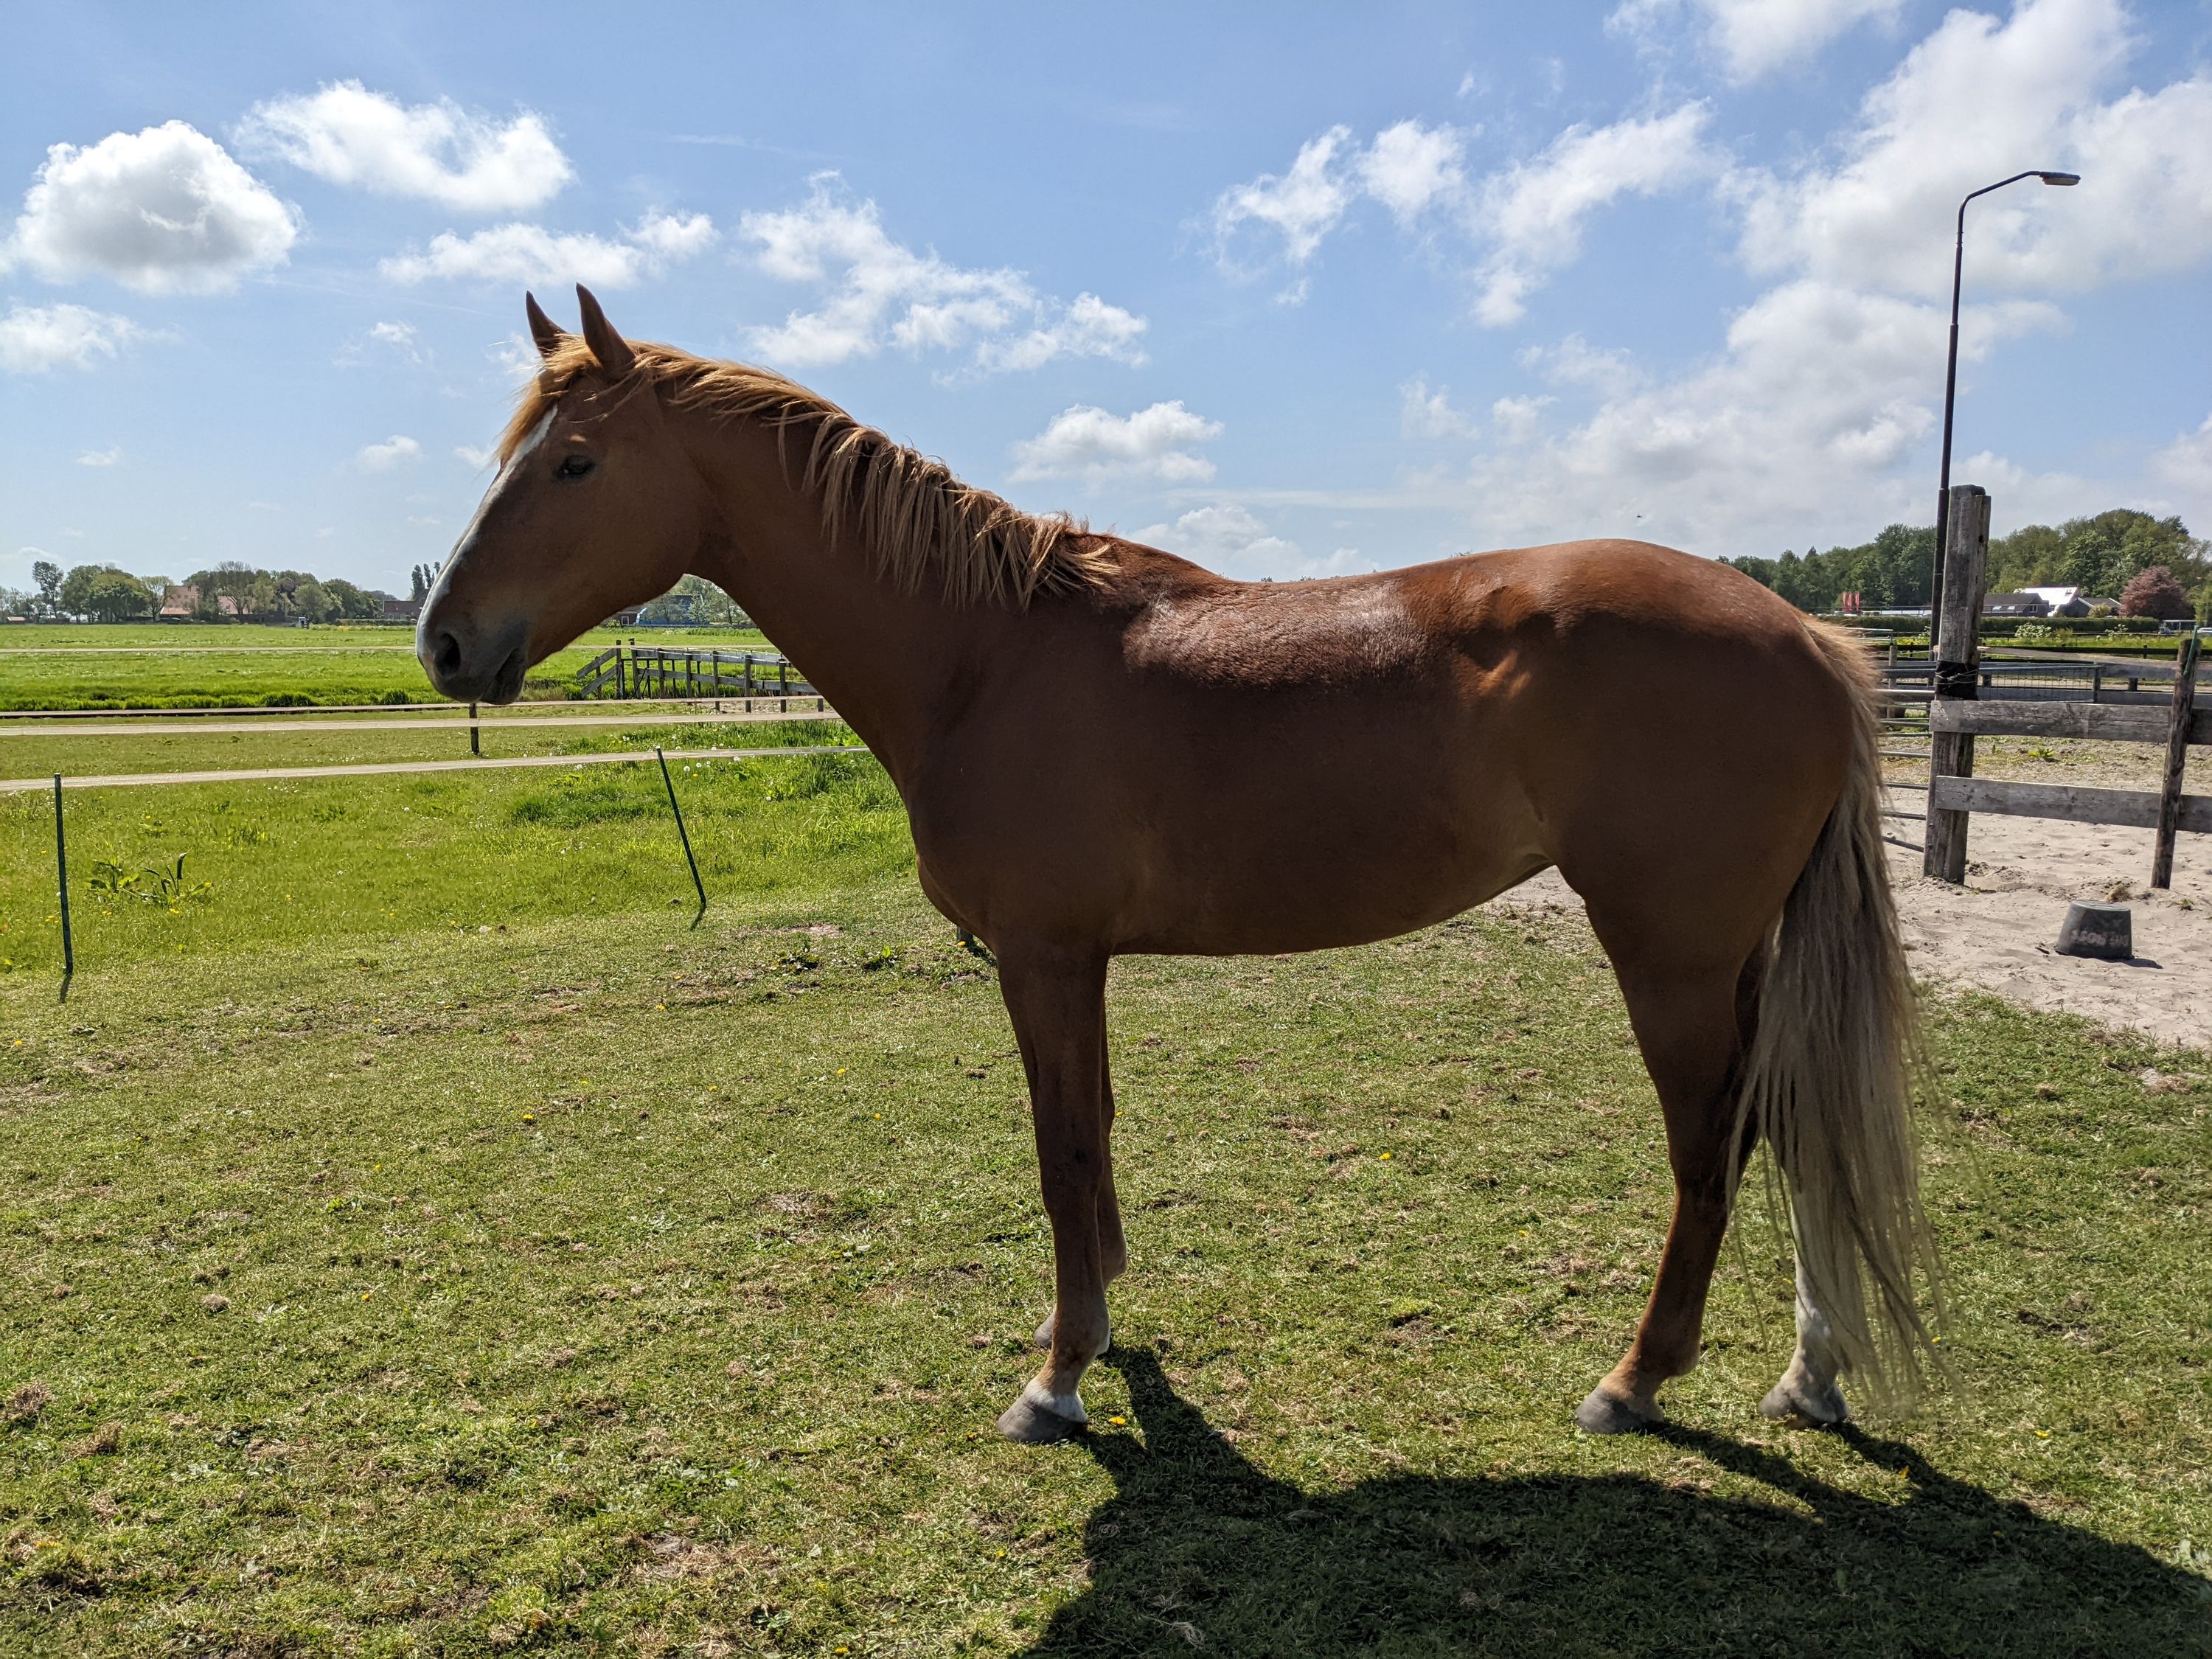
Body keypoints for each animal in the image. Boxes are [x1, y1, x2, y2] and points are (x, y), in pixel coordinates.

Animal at [419, 286, 1938, 1444]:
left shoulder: (1040, 958)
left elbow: (1059, 1150)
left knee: (1713, 1144)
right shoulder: (1076, 962)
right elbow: (1093, 1137)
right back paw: (1808, 1373)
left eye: (573, 464)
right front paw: (1092, 1325)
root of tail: (1813, 638)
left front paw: (1056, 1378)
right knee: (1790, 1123)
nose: (444, 643)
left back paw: (1637, 1380)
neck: (984, 653)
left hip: (1671, 956)